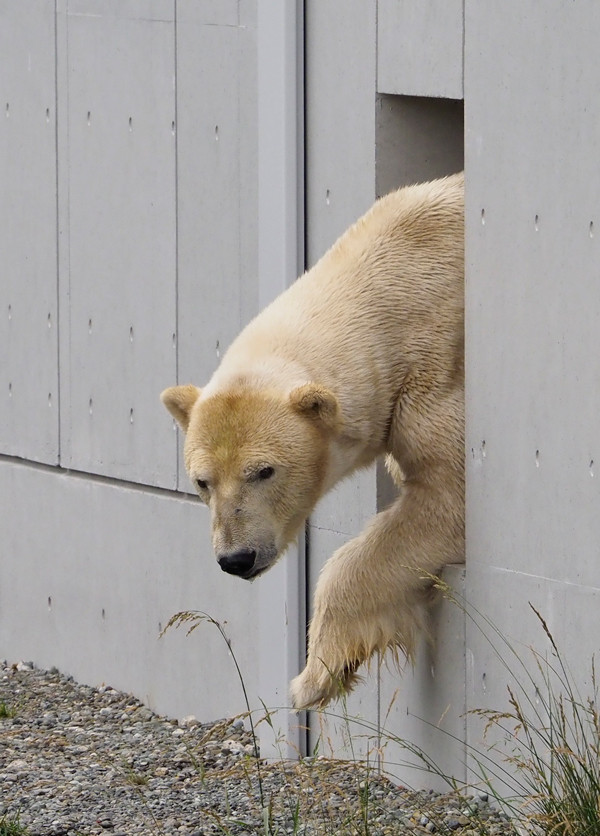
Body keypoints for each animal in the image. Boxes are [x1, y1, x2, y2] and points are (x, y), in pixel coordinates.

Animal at [161, 173, 464, 708]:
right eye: (201, 482)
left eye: (264, 471)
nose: (236, 559)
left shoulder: (432, 367)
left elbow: (445, 490)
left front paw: (315, 676)